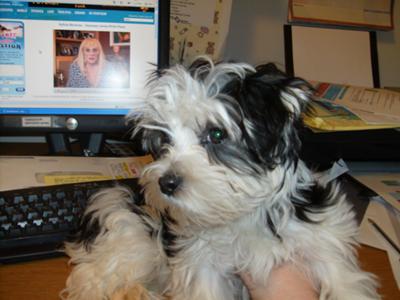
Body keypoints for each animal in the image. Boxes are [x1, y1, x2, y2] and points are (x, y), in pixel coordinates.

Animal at [61, 58, 378, 300]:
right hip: (131, 236)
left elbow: (344, 284)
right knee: (95, 279)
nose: (166, 183)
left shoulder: (323, 243)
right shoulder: (202, 265)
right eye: (166, 139)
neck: (240, 214)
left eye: (216, 134)